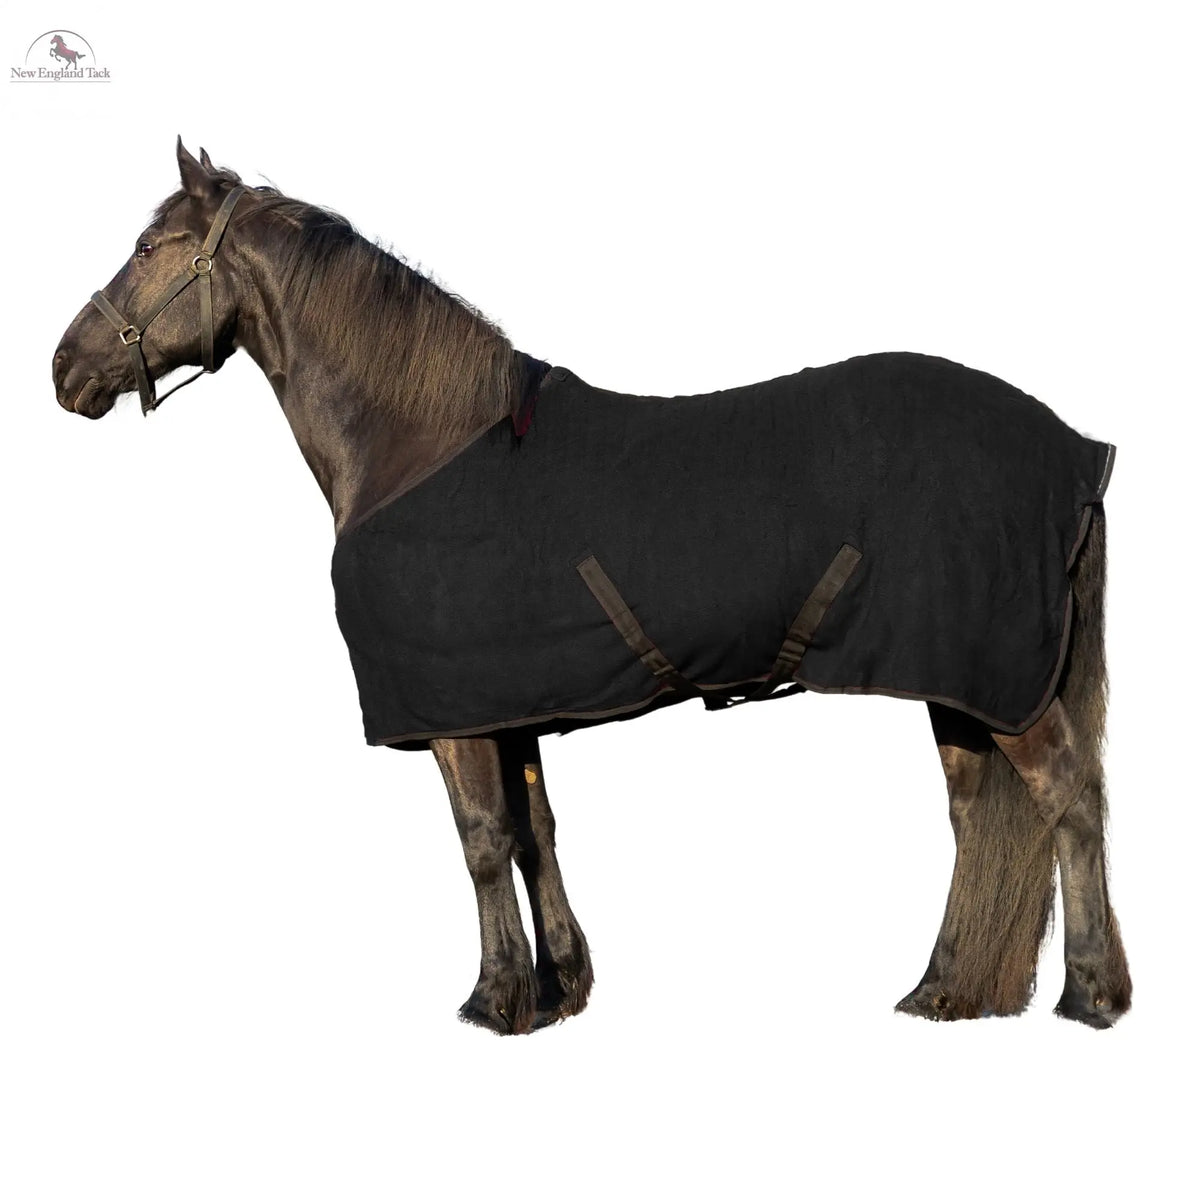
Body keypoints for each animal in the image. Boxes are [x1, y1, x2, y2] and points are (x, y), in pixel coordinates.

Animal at [51, 140, 1131, 1034]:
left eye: (149, 247)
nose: (65, 368)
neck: (418, 449)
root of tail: (1071, 449)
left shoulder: (455, 716)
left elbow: (482, 839)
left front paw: (494, 1001)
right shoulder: (509, 704)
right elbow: (538, 833)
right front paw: (561, 987)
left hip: (1000, 677)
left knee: (1068, 796)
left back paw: (1091, 994)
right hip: (962, 685)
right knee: (977, 819)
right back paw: (943, 989)